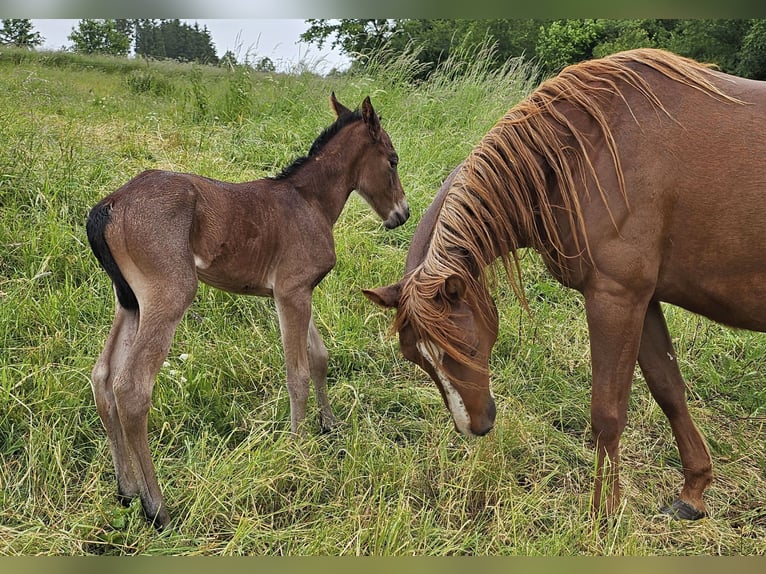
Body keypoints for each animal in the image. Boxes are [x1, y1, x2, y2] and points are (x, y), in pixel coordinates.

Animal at [86, 93, 409, 529]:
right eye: (392, 159)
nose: (402, 214)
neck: (309, 201)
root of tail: (110, 204)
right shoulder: (292, 292)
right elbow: (297, 373)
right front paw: (297, 453)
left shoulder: (296, 292)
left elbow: (319, 356)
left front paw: (329, 426)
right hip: (168, 295)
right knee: (132, 387)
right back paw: (158, 509)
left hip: (129, 301)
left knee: (103, 375)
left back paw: (127, 491)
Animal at [364, 48, 766, 522]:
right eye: (416, 358)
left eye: (469, 348)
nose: (475, 427)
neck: (585, 152)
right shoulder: (643, 301)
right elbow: (668, 388)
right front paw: (693, 492)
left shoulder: (615, 298)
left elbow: (607, 415)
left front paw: (602, 514)